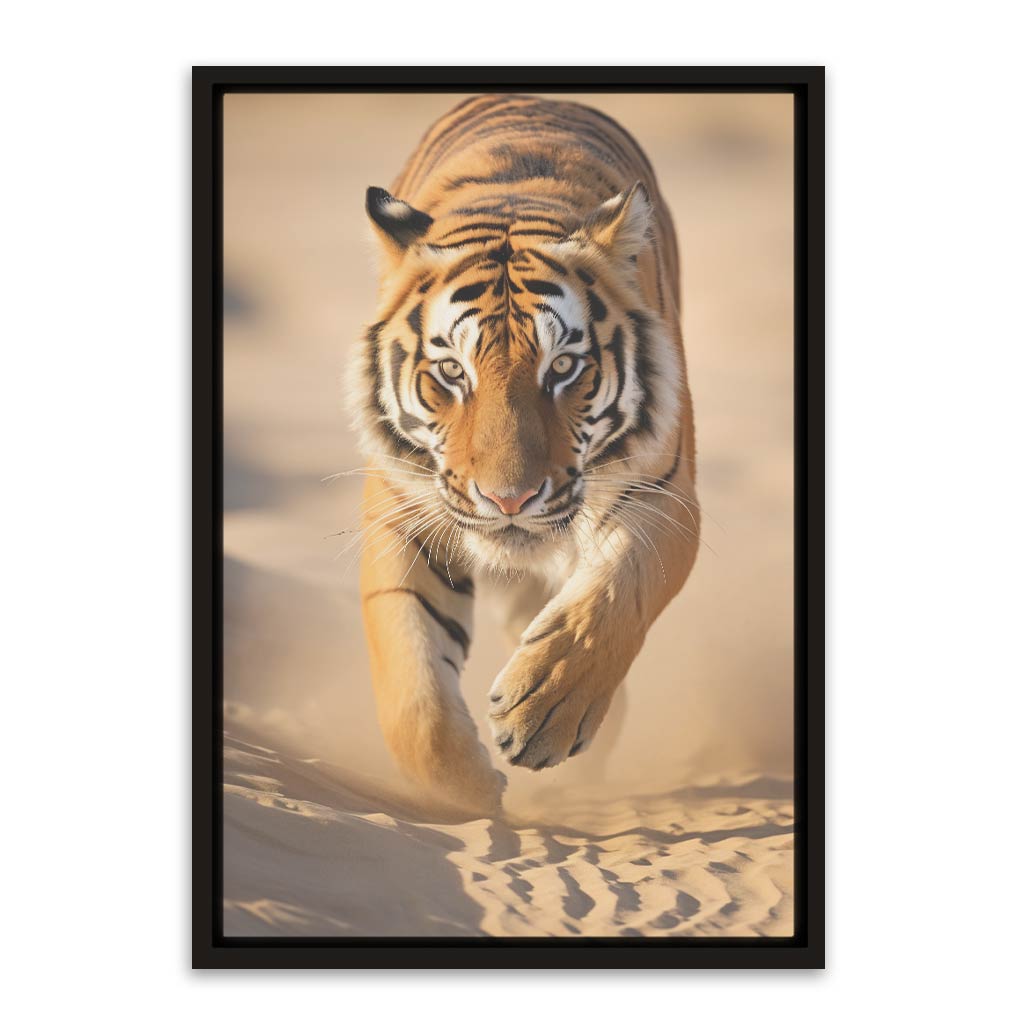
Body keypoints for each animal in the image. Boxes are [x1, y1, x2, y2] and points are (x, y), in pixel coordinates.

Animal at [348, 94, 699, 815]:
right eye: (452, 372)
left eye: (562, 367)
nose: (508, 499)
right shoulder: (402, 515)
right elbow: (412, 691)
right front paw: (472, 790)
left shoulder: (666, 495)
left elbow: (612, 597)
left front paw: (545, 712)